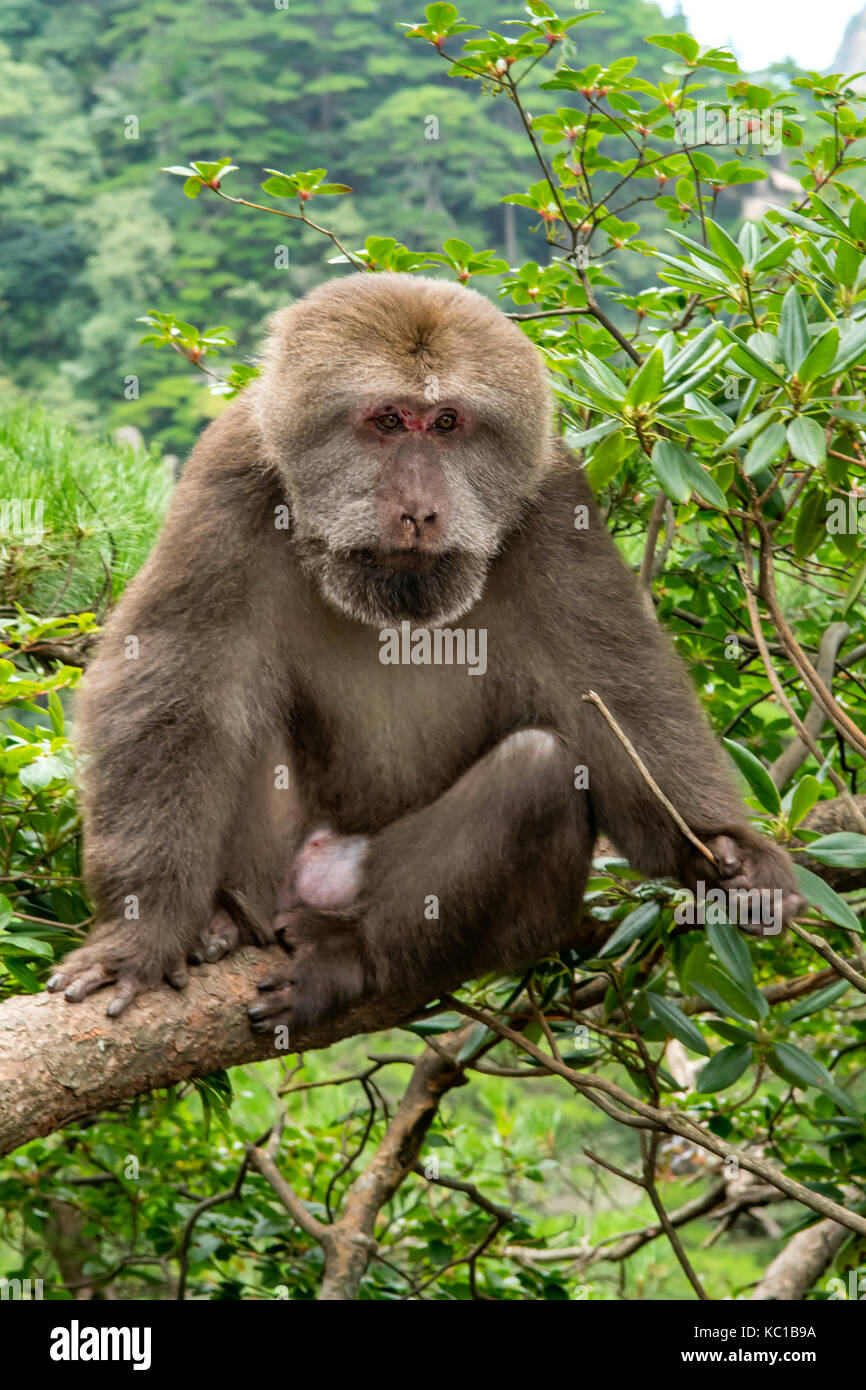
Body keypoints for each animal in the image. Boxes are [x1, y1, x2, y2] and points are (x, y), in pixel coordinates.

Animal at [46, 273, 802, 1030]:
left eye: (445, 424)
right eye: (387, 421)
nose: (417, 510)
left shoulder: (552, 495)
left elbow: (610, 684)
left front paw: (723, 847)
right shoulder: (230, 475)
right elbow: (174, 687)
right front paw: (143, 933)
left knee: (539, 768)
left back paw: (347, 957)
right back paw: (227, 923)